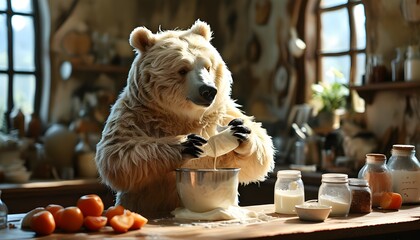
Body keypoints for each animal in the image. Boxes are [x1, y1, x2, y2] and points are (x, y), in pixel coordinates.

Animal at [97, 19, 278, 217]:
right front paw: (188, 143)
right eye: (182, 69)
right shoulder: (133, 115)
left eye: (207, 66)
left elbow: (259, 156)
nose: (208, 90)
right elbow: (119, 153)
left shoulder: (220, 113)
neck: (183, 117)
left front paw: (242, 131)